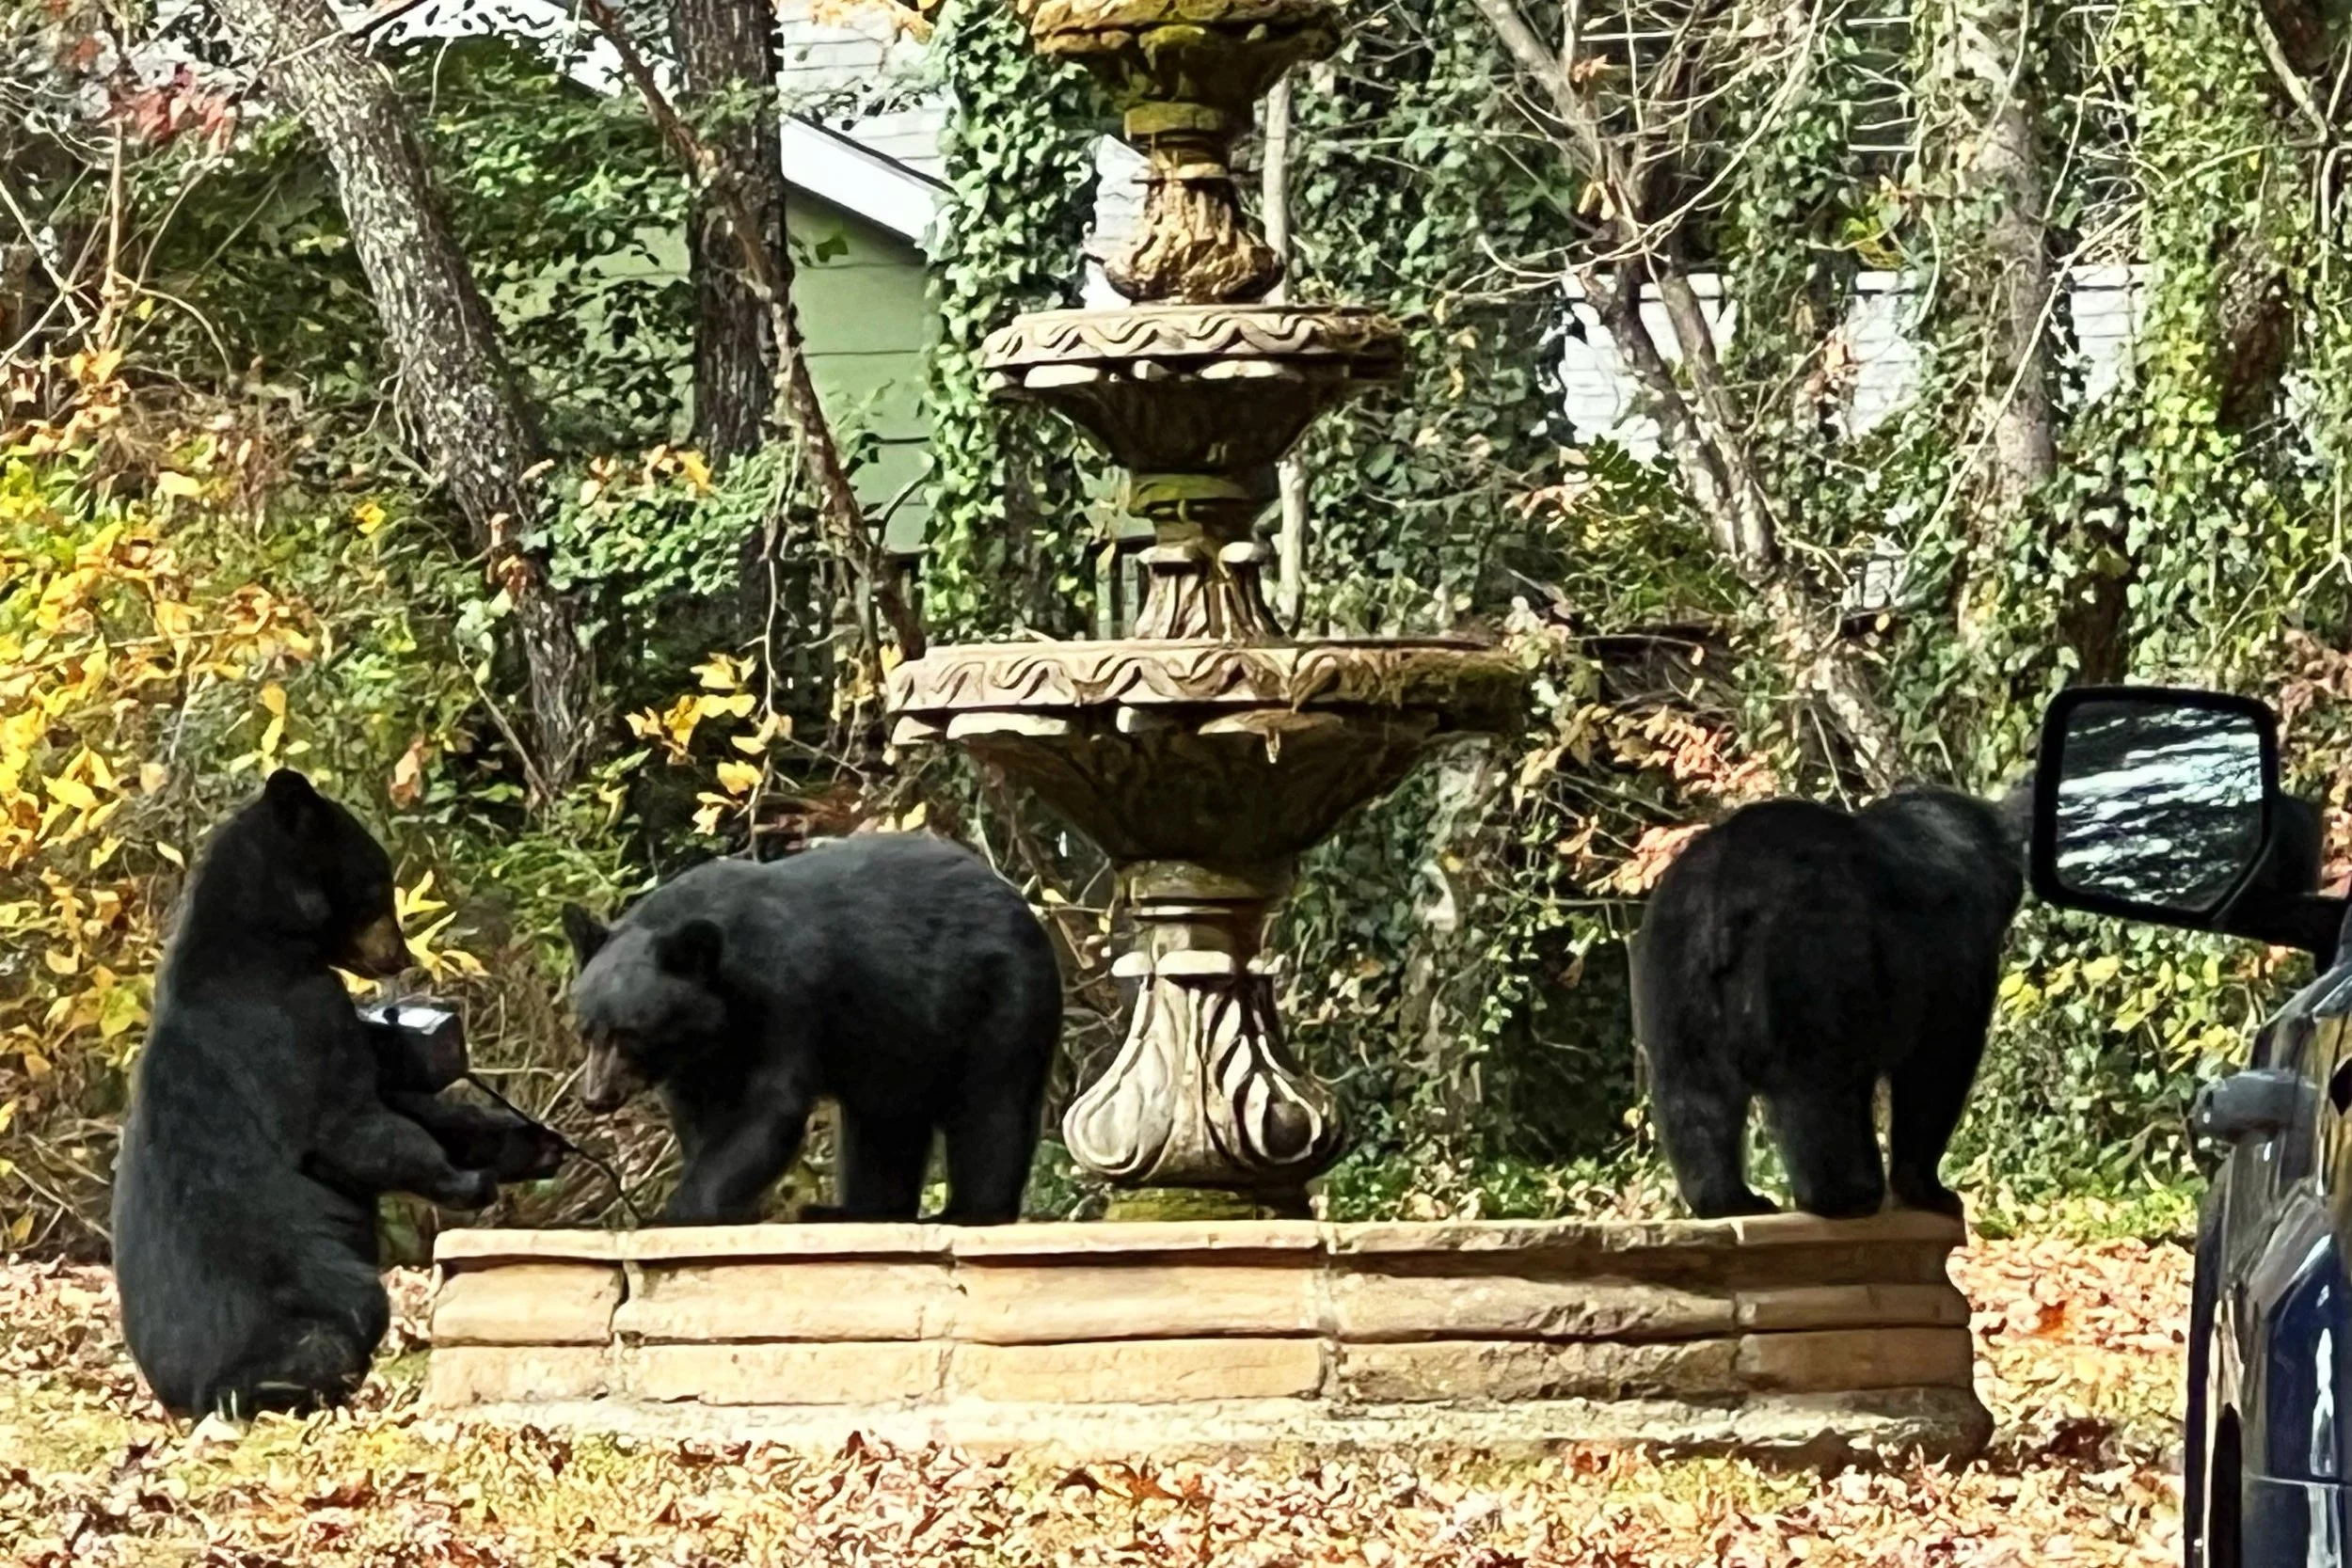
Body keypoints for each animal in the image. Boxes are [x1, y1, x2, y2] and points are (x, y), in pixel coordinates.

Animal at [111, 770, 502, 1419]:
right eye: (379, 885)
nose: (400, 956)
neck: (258, 941)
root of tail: (189, 1397)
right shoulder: (299, 1021)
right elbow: (353, 1126)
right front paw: (465, 1180)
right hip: (311, 1302)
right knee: (341, 1327)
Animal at [562, 833, 1061, 1226]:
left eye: (628, 1033)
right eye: (587, 1031)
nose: (595, 1097)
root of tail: (1024, 908)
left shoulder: (785, 995)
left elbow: (767, 1107)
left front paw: (679, 1213)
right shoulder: (698, 1059)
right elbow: (700, 1119)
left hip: (1000, 997)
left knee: (991, 1105)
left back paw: (970, 1212)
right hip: (899, 1043)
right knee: (884, 1127)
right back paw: (857, 1211)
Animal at [1630, 784, 2028, 1221]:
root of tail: (1724, 896)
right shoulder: (1954, 952)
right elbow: (1938, 1062)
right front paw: (1930, 1190)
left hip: (1675, 976)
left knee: (1693, 1095)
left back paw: (1732, 1200)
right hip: (1813, 964)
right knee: (1821, 1090)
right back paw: (1849, 1195)